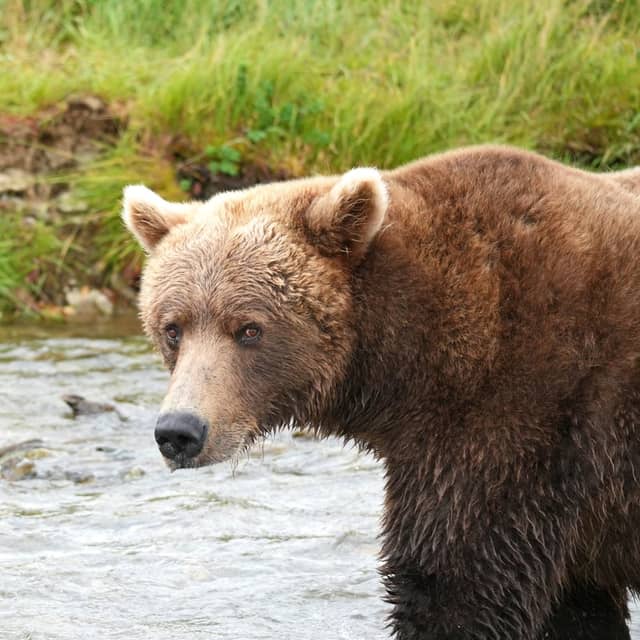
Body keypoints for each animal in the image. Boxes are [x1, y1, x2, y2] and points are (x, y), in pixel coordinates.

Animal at [122, 145, 640, 639]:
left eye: (249, 329)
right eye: (173, 327)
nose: (179, 431)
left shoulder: (517, 425)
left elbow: (458, 587)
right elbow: (576, 607)